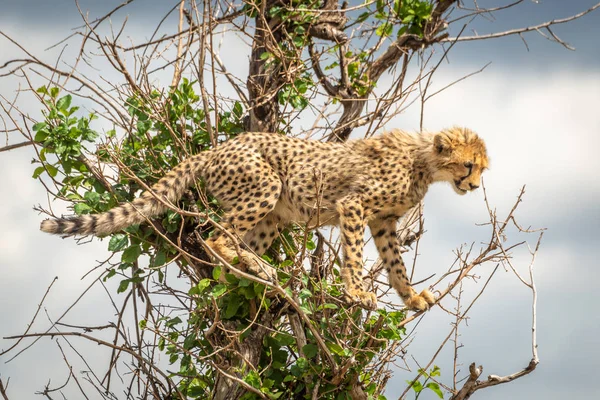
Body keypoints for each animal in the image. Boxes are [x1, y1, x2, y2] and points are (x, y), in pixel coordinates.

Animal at [39, 126, 488, 310]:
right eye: (468, 165)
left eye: (482, 168)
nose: (475, 186)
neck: (425, 163)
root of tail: (221, 146)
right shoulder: (354, 206)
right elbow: (356, 255)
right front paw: (357, 292)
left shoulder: (384, 222)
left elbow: (395, 264)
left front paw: (411, 297)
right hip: (266, 186)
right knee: (214, 235)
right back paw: (255, 269)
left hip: (274, 213)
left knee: (234, 243)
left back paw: (246, 275)